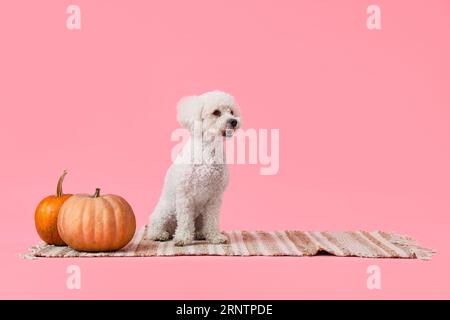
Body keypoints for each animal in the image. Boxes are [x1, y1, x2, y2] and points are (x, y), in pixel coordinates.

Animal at [149, 91, 241, 246]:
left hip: (200, 215)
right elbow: (185, 221)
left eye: (232, 112)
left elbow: (212, 219)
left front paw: (215, 236)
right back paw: (160, 234)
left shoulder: (214, 197)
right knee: (156, 225)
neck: (208, 151)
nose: (233, 121)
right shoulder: (185, 196)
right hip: (166, 210)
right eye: (216, 112)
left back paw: (200, 233)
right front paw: (183, 238)